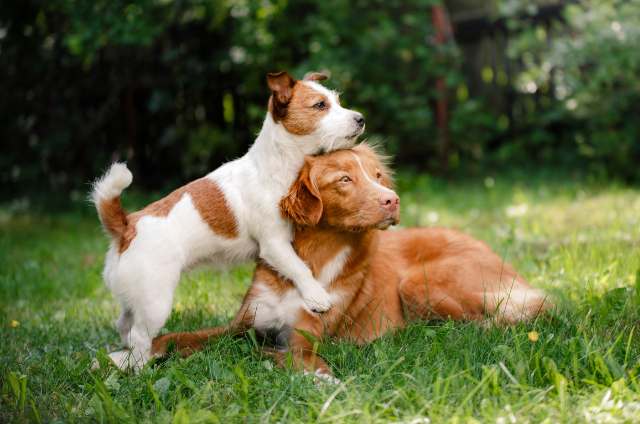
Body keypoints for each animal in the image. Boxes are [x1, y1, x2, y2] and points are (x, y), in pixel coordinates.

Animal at [90, 71, 364, 370]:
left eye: (337, 101)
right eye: (320, 105)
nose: (360, 118)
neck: (276, 166)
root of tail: (126, 227)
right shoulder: (274, 244)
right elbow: (299, 268)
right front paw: (317, 296)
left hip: (136, 298)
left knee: (124, 324)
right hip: (156, 303)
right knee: (139, 337)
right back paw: (140, 370)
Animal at [148, 146, 548, 380]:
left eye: (377, 175)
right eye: (344, 179)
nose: (393, 200)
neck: (313, 258)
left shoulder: (304, 341)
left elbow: (266, 353)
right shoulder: (243, 323)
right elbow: (177, 336)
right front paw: (138, 356)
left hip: (418, 284)